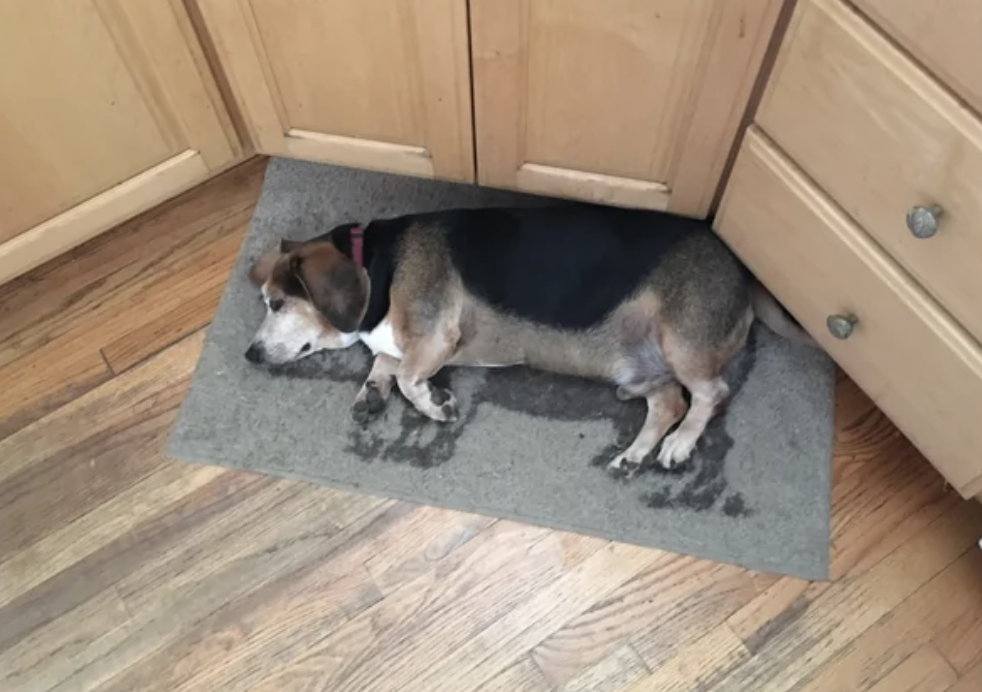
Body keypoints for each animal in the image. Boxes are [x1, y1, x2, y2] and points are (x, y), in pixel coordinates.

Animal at [246, 203, 816, 476]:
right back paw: (635, 454)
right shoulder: (401, 340)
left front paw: (434, 405)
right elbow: (386, 362)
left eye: (276, 304)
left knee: (711, 394)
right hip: (636, 372)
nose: (249, 354)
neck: (374, 261)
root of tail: (743, 270)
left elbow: (408, 376)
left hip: (683, 342)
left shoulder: (435, 335)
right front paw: (370, 391)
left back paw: (678, 445)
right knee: (670, 401)